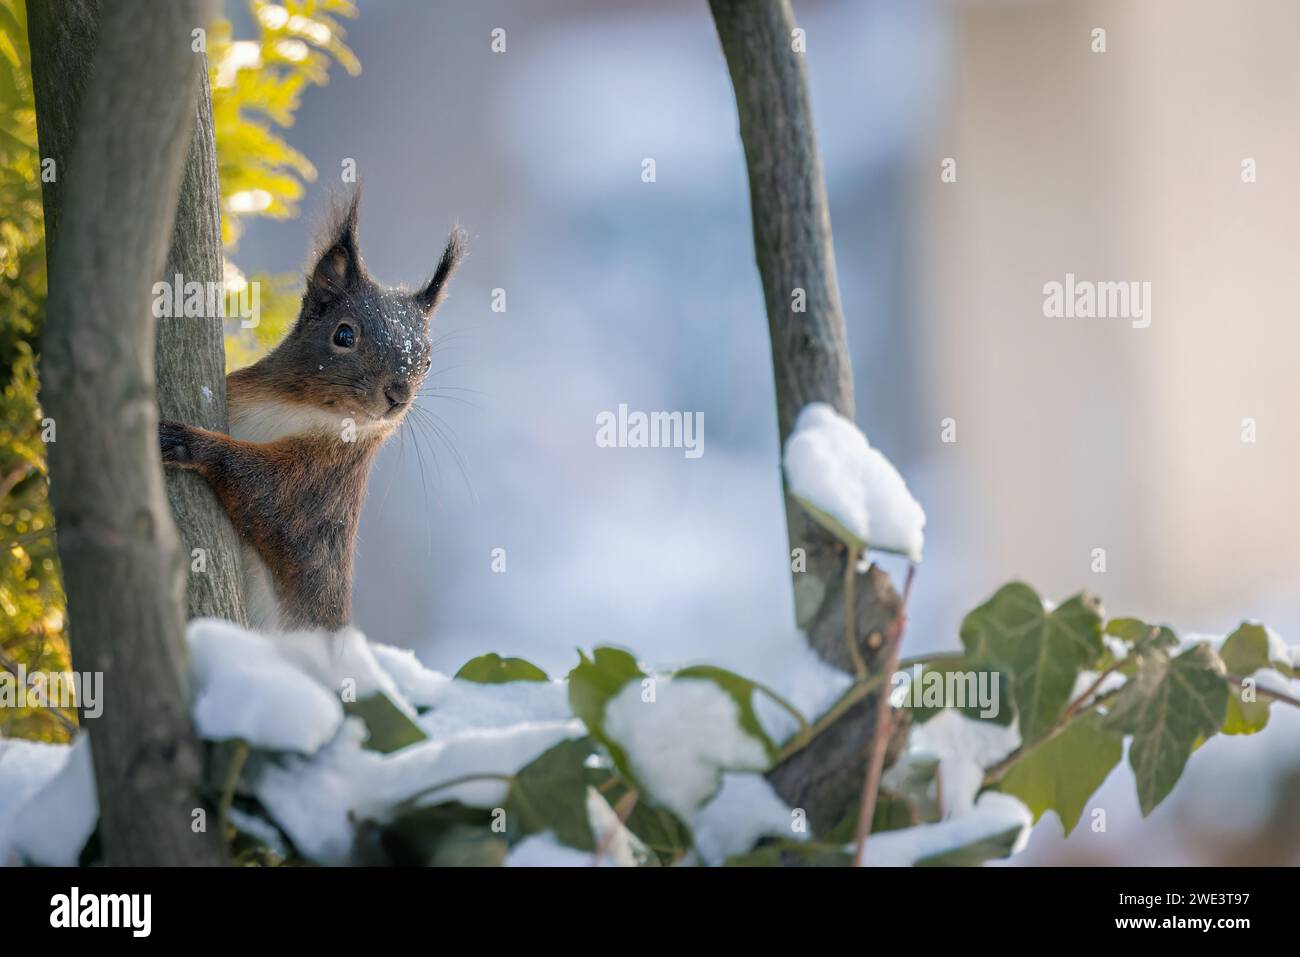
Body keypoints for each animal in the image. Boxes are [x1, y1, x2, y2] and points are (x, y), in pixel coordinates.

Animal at [159, 189, 462, 631]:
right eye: (344, 335)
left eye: (426, 362)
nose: (398, 395)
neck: (299, 408)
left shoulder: (320, 483)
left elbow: (261, 490)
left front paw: (187, 442)